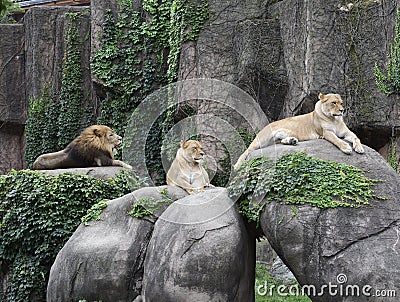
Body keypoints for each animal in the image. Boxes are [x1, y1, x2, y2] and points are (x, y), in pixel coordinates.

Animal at [233, 93, 364, 169]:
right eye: (334, 103)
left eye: (341, 103)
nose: (342, 110)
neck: (334, 119)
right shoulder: (326, 132)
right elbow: (337, 140)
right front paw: (346, 147)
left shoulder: (346, 132)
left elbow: (356, 137)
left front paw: (359, 148)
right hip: (261, 140)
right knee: (246, 152)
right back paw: (237, 165)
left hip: (277, 138)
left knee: (280, 141)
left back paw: (292, 141)